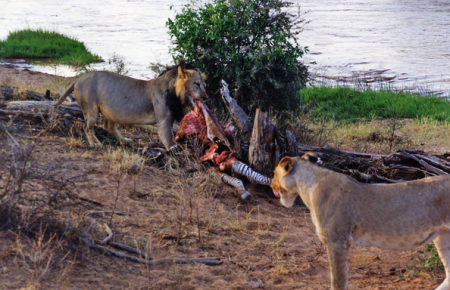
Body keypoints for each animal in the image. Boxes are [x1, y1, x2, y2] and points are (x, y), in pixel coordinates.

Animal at [54, 63, 207, 150]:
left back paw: (124, 140)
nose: (206, 97)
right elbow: (167, 134)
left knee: (108, 126)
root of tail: (77, 79)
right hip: (90, 109)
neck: (177, 95)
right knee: (87, 128)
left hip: (111, 111)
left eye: (204, 85)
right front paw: (172, 147)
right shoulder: (164, 118)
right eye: (197, 84)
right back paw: (96, 144)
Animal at [270, 153, 450, 288]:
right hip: (443, 238)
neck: (307, 188)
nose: (271, 185)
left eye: (273, 173)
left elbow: (338, 281)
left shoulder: (337, 241)